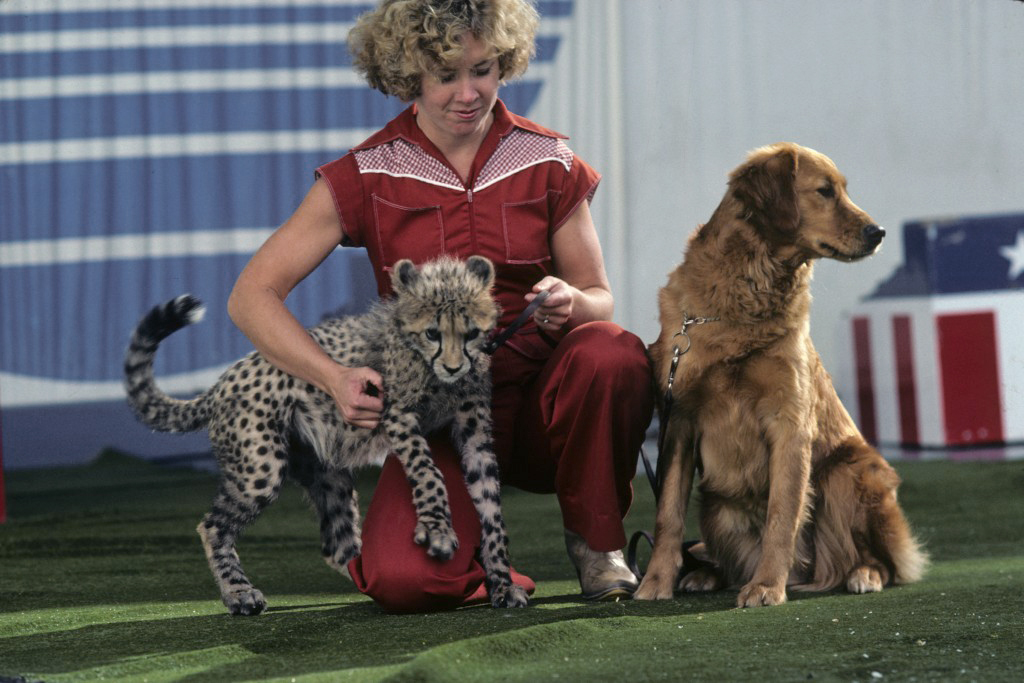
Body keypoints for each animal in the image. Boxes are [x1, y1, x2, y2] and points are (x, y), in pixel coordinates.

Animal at [630, 141, 929, 606]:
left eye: (843, 190)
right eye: (825, 191)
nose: (878, 232)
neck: (747, 293)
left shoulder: (789, 422)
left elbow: (782, 514)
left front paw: (767, 585)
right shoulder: (678, 418)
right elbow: (668, 515)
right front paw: (656, 582)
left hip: (849, 473)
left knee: (882, 560)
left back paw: (863, 574)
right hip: (717, 506)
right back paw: (706, 574)